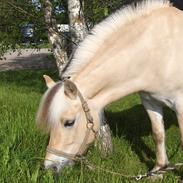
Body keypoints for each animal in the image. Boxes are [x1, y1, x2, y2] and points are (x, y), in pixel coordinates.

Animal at [36, 0, 183, 174]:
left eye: (69, 122)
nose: (50, 167)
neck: (159, 51)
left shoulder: (180, 105)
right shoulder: (150, 102)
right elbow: (158, 134)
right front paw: (159, 170)